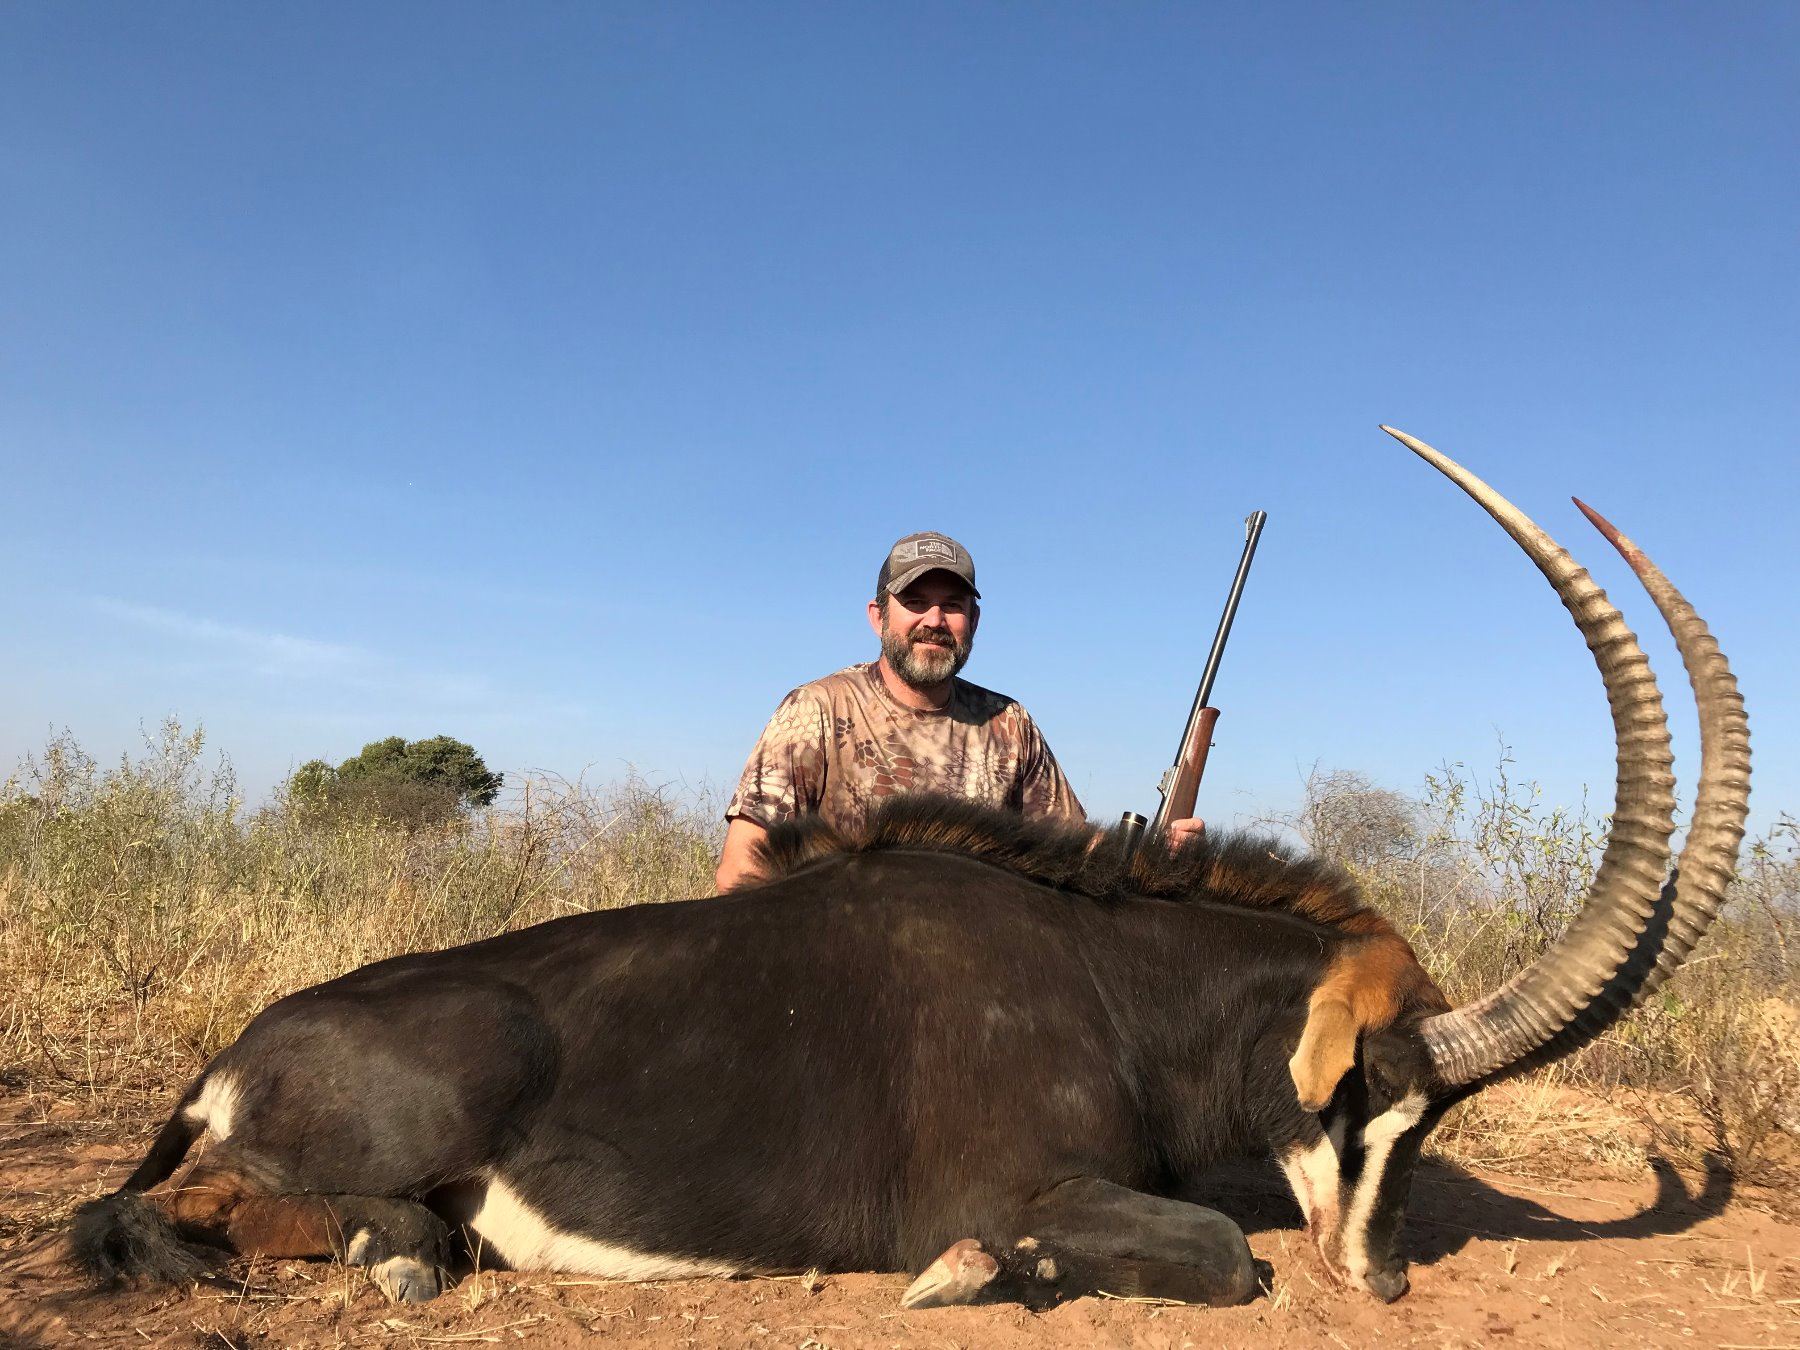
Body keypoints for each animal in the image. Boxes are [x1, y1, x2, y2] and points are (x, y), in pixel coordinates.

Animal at [69, 428, 1750, 1310]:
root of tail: (237, 1049)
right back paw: (393, 1253)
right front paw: (974, 1272)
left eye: (1428, 1122)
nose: (1381, 1277)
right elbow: (1213, 1247)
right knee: (191, 1213)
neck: (1105, 974)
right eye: (1363, 1096)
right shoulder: (1011, 1179)